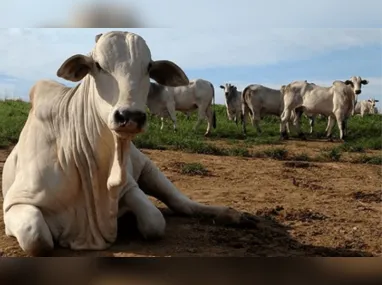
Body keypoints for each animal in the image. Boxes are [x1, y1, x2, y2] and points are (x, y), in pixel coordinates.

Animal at [1, 30, 256, 255]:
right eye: (98, 65)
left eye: (149, 66)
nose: (130, 116)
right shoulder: (16, 203)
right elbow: (37, 238)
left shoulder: (130, 186)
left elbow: (154, 221)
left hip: (150, 169)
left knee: (182, 203)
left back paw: (235, 215)